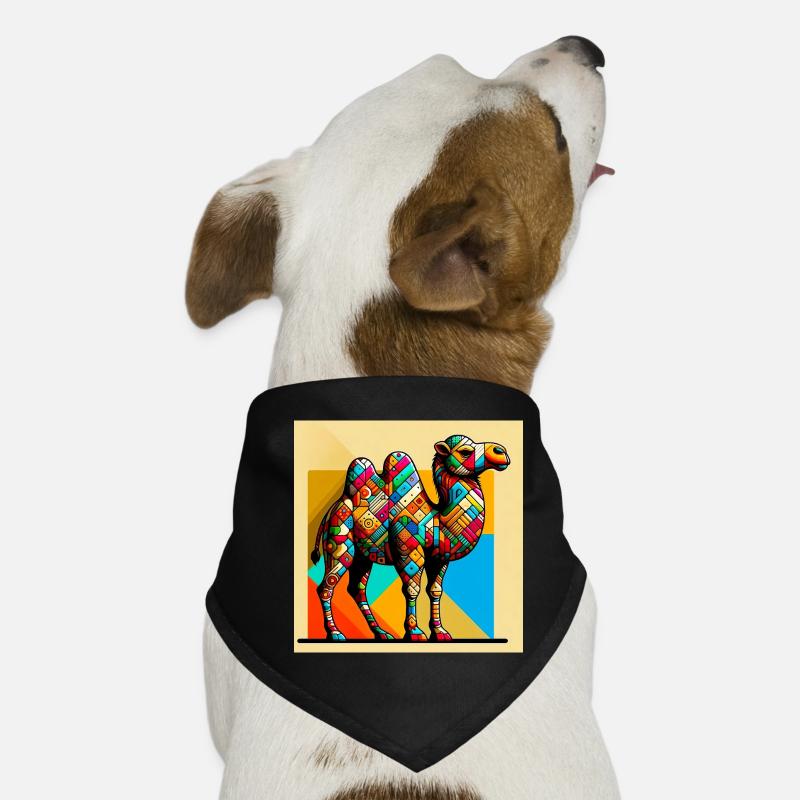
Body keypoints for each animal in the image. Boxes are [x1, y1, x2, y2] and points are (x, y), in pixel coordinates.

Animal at [311, 434, 511, 641]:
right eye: (465, 451)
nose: (501, 452)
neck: (437, 522)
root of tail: (331, 510)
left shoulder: (439, 559)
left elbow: (435, 591)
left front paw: (439, 632)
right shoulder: (408, 550)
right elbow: (411, 589)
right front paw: (414, 632)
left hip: (363, 556)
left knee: (356, 588)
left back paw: (381, 633)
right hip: (340, 541)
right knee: (327, 586)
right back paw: (335, 633)